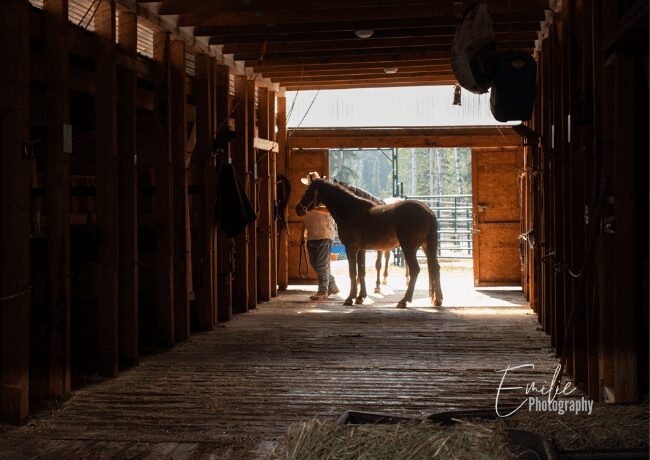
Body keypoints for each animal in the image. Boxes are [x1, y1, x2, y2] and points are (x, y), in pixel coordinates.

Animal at [294, 180, 440, 310]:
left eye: (308, 190)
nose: (297, 209)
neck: (349, 211)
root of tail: (429, 212)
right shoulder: (361, 250)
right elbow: (361, 272)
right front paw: (360, 297)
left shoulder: (351, 248)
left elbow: (353, 272)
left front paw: (350, 299)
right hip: (426, 247)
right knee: (435, 267)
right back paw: (437, 300)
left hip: (409, 247)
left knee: (415, 269)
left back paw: (404, 301)